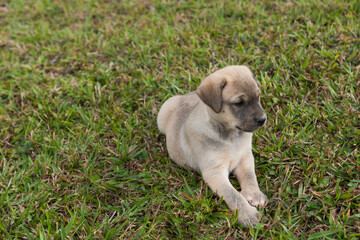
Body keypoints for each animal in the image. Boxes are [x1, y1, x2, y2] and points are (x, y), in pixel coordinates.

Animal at [157, 65, 268, 225]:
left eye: (258, 96)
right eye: (239, 103)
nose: (263, 119)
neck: (231, 136)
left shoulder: (245, 157)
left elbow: (249, 176)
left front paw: (255, 194)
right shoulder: (215, 172)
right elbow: (233, 195)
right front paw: (248, 214)